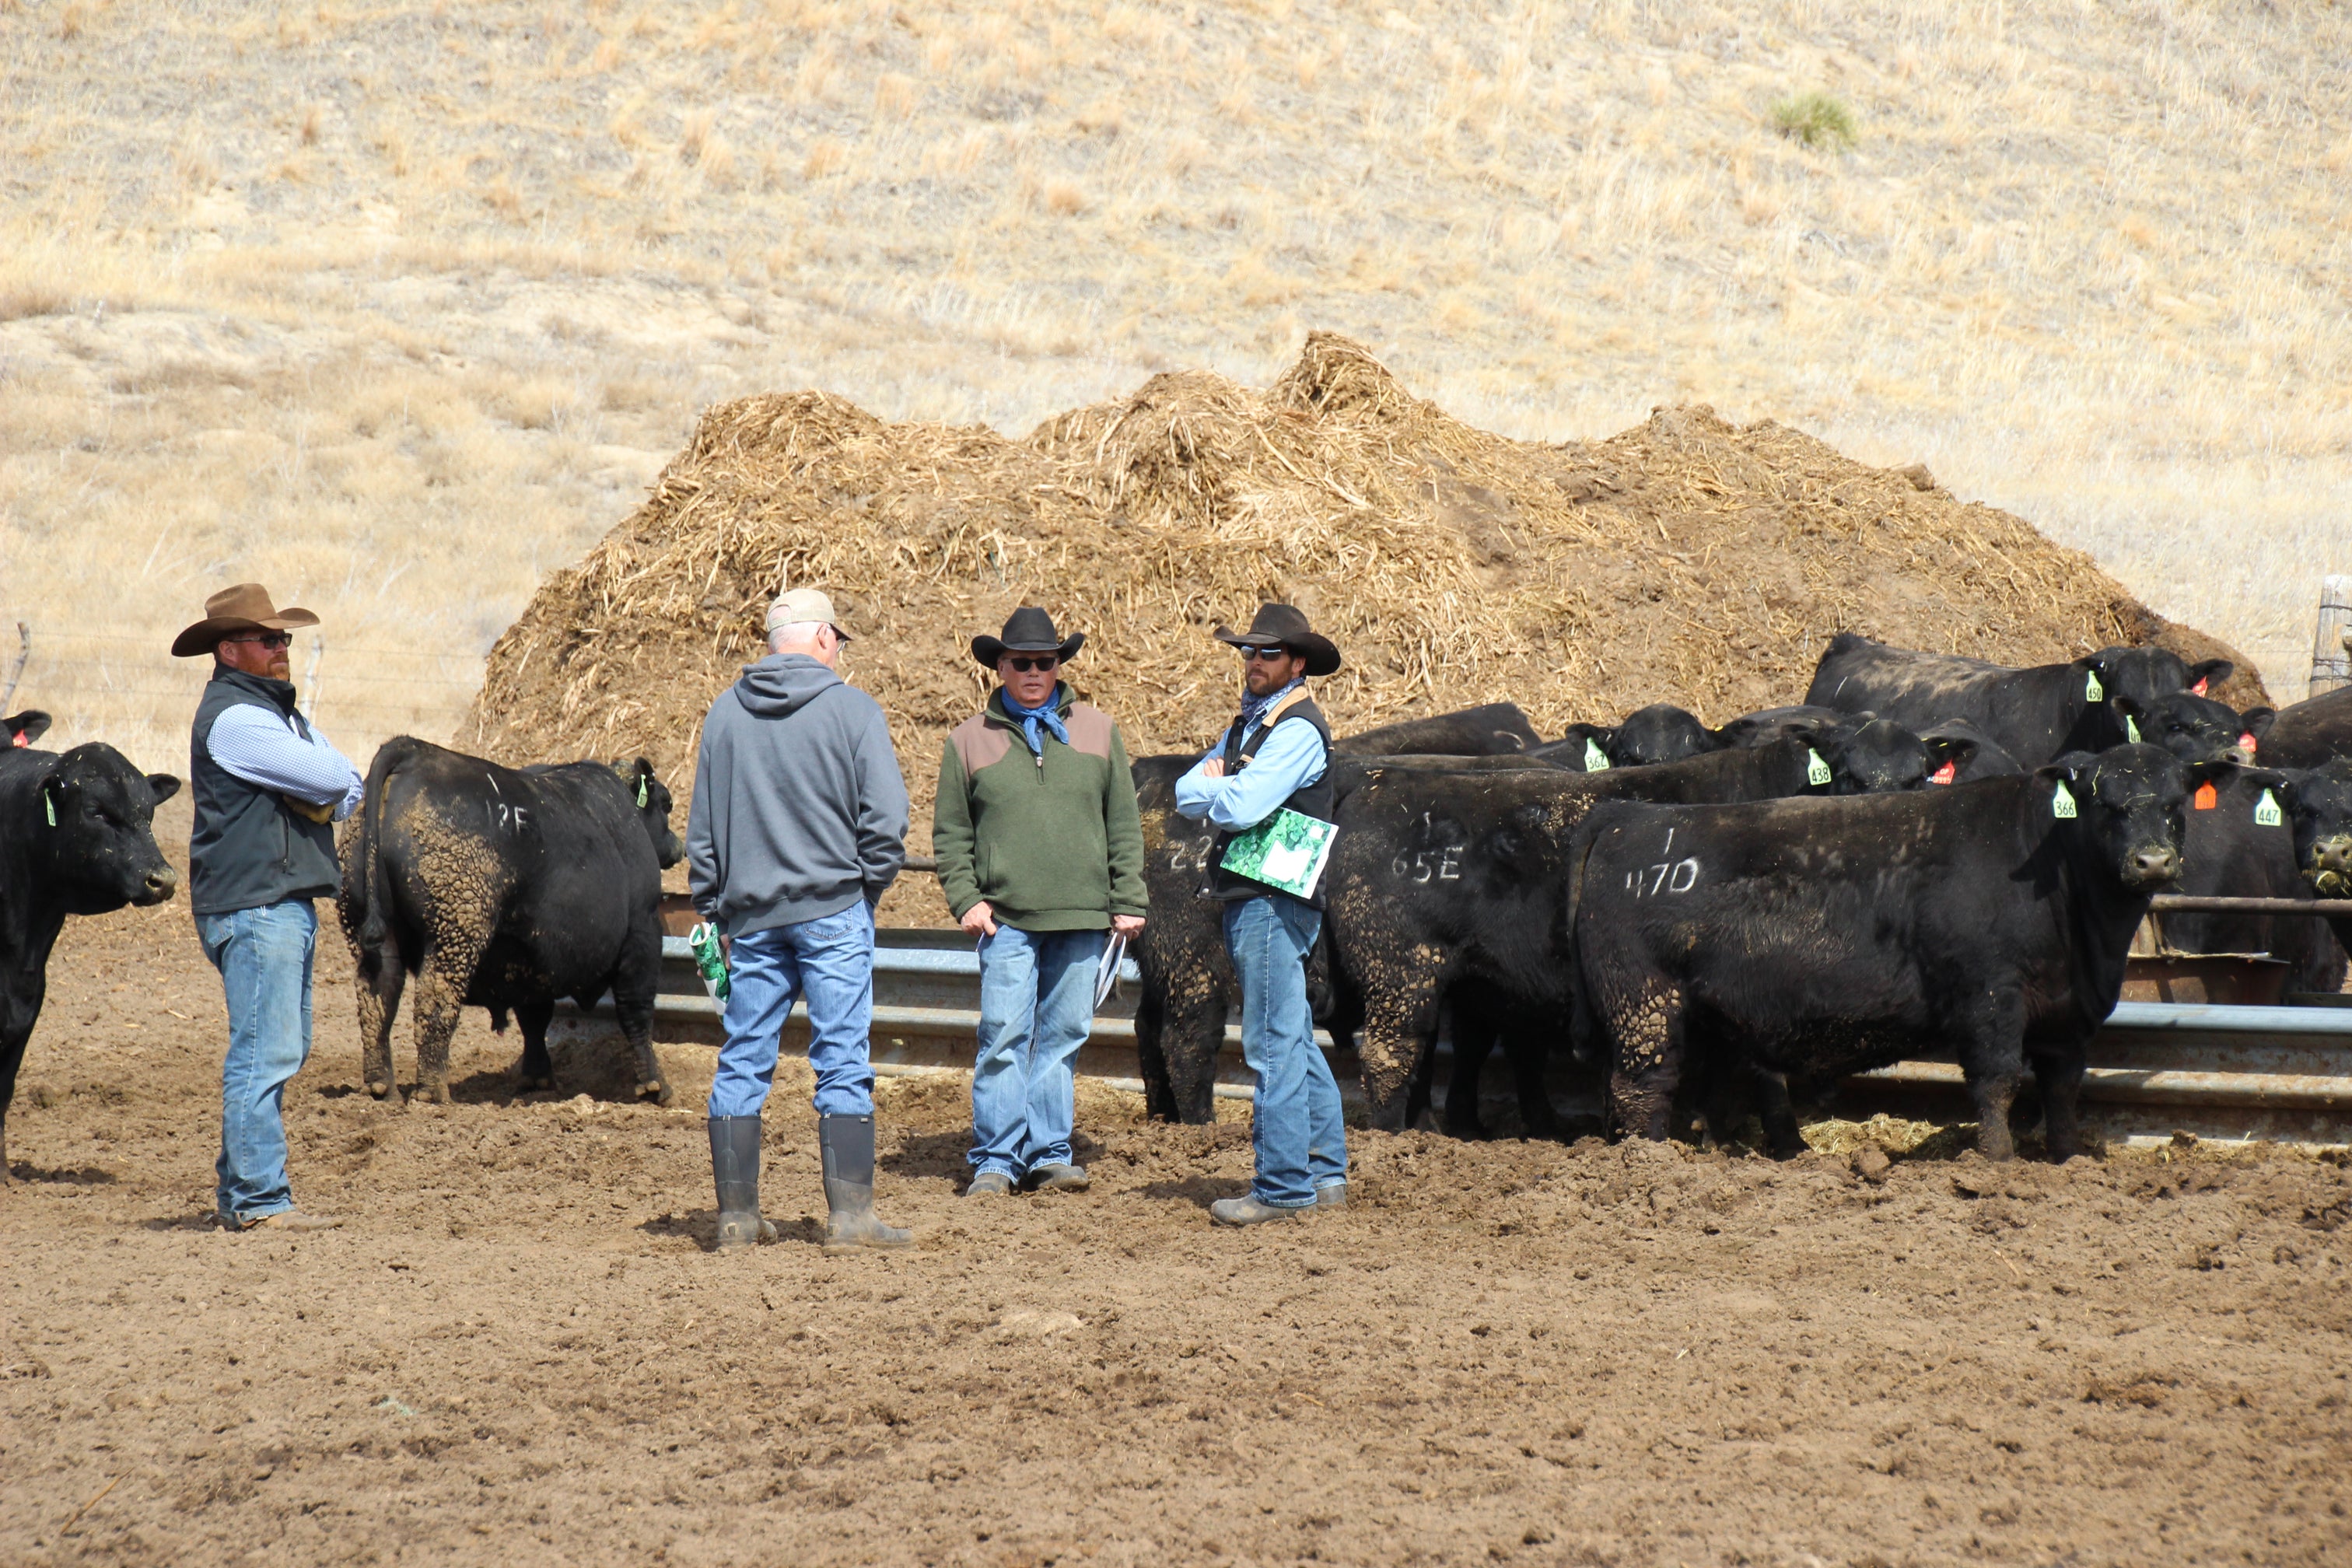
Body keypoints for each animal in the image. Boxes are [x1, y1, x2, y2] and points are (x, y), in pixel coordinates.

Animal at [340, 737, 683, 1107]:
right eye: (666, 804)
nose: (678, 847)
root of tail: (414, 751)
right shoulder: (642, 930)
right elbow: (636, 1010)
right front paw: (655, 1085)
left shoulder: (530, 958)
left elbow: (534, 1018)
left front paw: (537, 1078)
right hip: (455, 933)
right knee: (435, 1000)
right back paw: (433, 1091)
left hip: (373, 930)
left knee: (378, 996)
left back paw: (383, 1086)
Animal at [1572, 744, 2235, 1163]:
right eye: (2106, 803)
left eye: (2175, 803)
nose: (2152, 862)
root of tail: (1626, 820)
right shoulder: (1991, 997)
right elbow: (1997, 1082)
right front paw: (1996, 1162)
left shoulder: (2066, 1017)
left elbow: (2063, 1091)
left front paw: (2067, 1161)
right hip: (1643, 1004)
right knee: (1643, 1087)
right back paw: (1653, 1163)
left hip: (1707, 1013)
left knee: (1708, 1083)